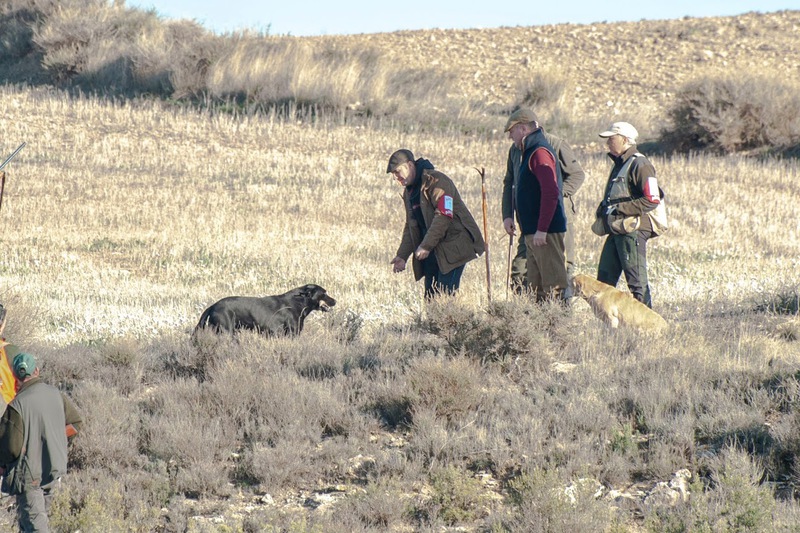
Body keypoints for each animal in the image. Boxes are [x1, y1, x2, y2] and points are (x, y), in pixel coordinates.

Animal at [194, 284, 336, 336]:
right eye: (324, 293)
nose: (335, 301)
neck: (299, 302)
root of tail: (213, 305)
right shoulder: (292, 333)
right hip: (227, 332)